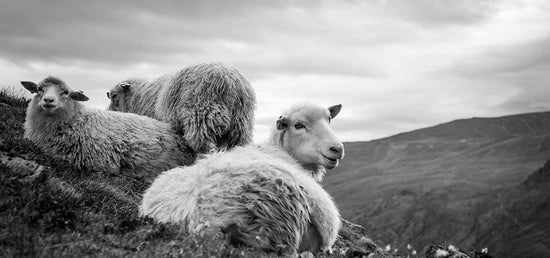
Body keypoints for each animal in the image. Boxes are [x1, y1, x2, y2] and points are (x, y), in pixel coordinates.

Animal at [108, 62, 258, 154]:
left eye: (114, 95)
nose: (108, 113)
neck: (139, 97)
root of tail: (230, 82)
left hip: (201, 118)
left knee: (206, 148)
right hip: (240, 125)